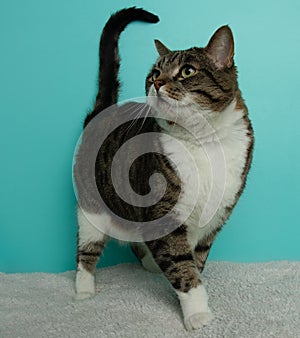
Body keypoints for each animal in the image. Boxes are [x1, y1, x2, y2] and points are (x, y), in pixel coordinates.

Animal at [72, 6, 253, 332]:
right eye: (155, 73)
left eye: (187, 71)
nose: (157, 83)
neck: (205, 141)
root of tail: (101, 113)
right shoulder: (164, 213)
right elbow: (183, 267)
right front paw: (197, 314)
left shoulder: (215, 216)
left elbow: (196, 260)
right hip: (90, 210)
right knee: (86, 251)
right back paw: (84, 290)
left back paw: (151, 264)